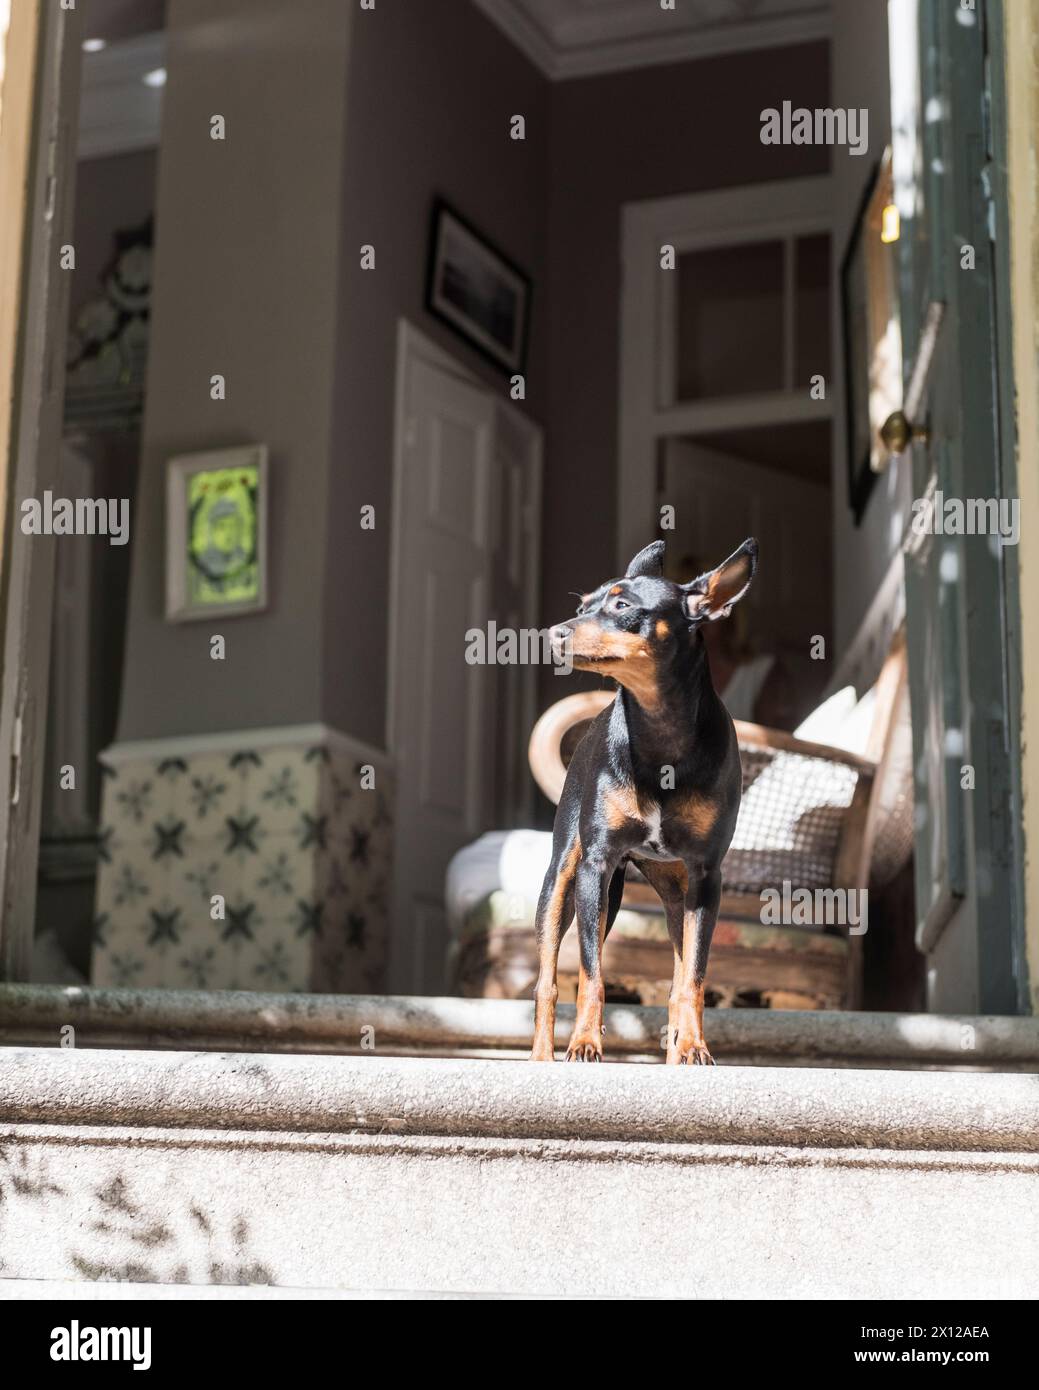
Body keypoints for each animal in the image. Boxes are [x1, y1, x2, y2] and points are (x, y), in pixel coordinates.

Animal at [536, 533, 756, 1061]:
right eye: (582, 607)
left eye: (622, 606)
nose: (554, 633)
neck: (659, 734)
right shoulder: (596, 865)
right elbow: (591, 975)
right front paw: (585, 1042)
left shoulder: (706, 877)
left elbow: (692, 978)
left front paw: (694, 1046)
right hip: (564, 878)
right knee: (548, 978)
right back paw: (542, 1057)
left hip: (676, 894)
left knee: (677, 975)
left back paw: (679, 1045)